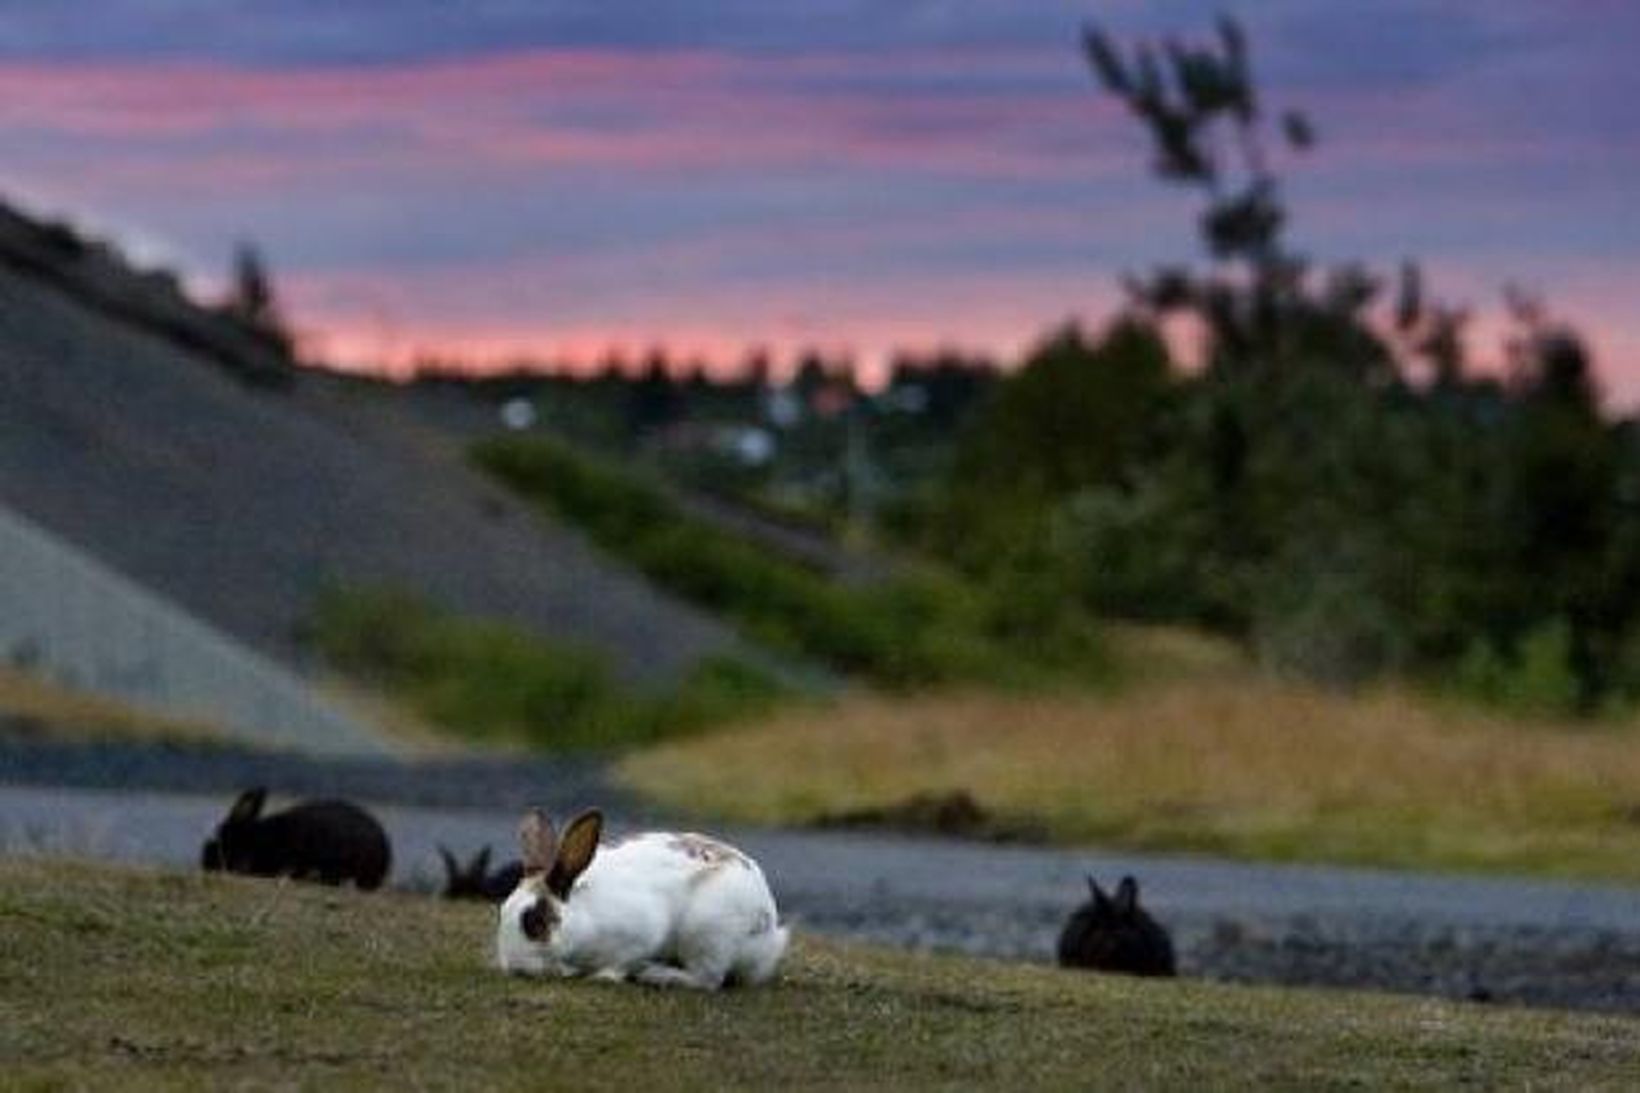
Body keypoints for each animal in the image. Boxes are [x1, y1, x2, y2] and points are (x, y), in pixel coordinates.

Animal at [492, 800, 787, 984]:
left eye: (535, 920)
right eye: (502, 912)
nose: (515, 966)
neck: (584, 915)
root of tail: (768, 922)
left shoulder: (640, 934)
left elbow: (622, 962)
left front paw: (604, 977)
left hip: (708, 934)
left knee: (707, 979)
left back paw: (655, 974)